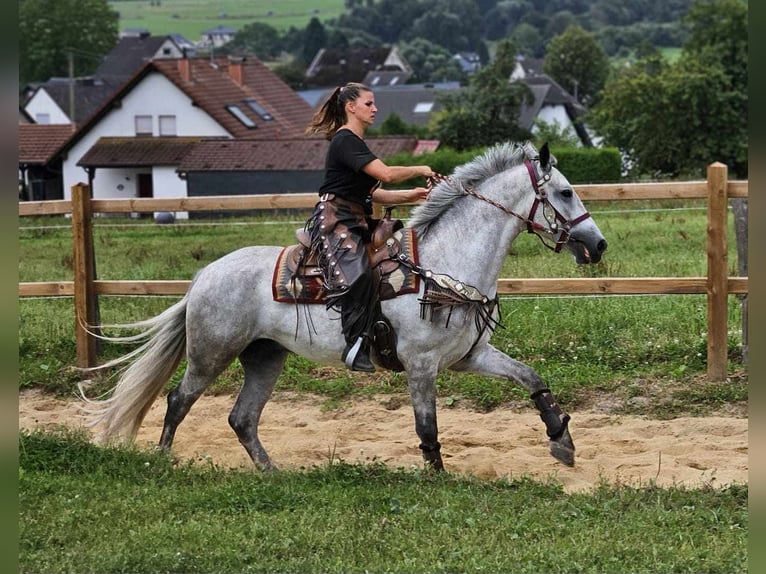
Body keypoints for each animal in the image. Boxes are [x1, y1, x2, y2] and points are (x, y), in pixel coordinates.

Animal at [84, 143, 608, 472]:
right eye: (565, 192)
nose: (597, 244)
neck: (443, 263)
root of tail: (203, 277)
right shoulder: (421, 364)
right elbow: (427, 425)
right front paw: (438, 476)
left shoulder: (468, 356)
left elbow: (532, 379)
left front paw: (562, 441)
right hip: (211, 352)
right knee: (178, 400)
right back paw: (163, 461)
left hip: (265, 357)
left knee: (241, 418)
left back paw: (272, 472)